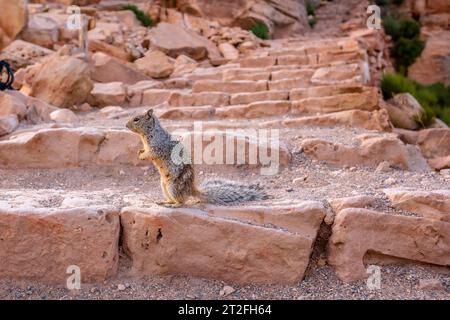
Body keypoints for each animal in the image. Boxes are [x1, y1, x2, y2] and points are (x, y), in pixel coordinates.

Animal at [125, 108, 268, 208]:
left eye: (137, 119)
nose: (125, 125)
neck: (147, 135)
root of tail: (191, 190)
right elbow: (145, 150)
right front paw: (140, 151)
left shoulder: (157, 147)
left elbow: (151, 154)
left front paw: (142, 156)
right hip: (163, 186)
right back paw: (164, 201)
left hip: (172, 186)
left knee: (181, 201)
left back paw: (173, 205)